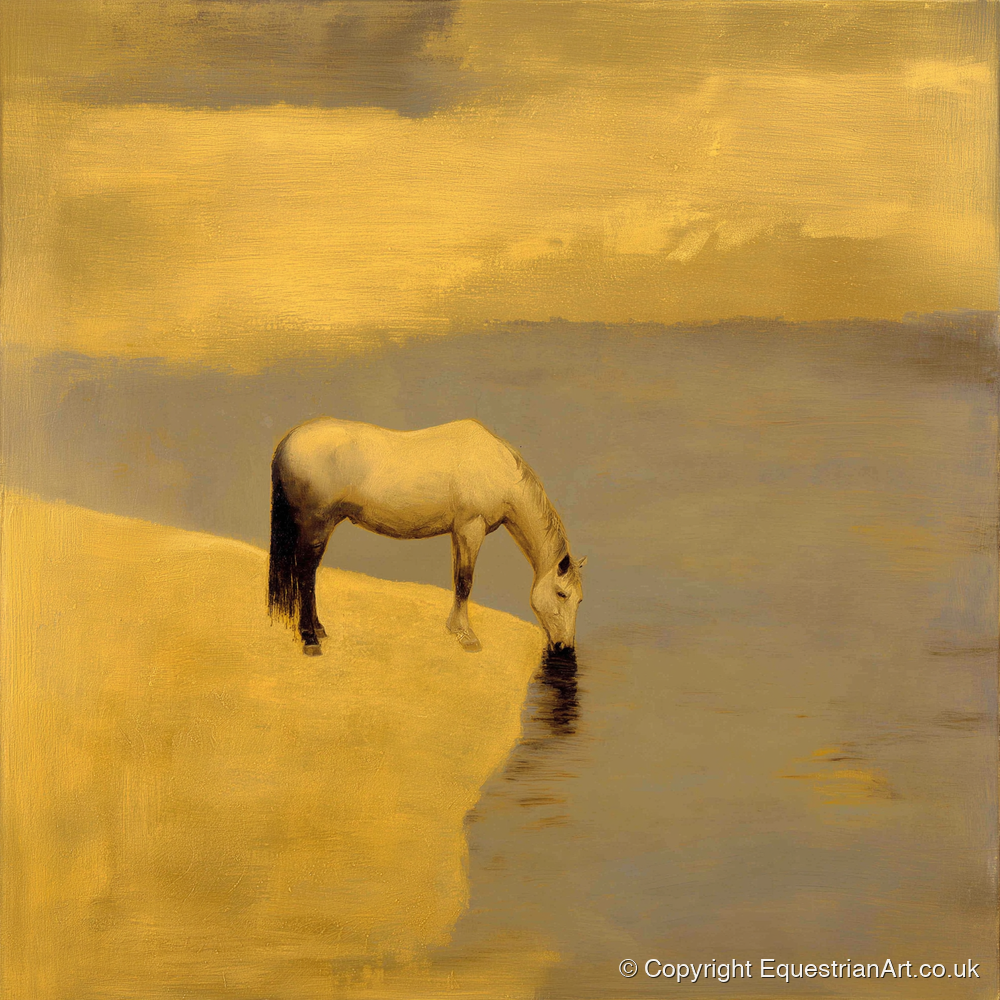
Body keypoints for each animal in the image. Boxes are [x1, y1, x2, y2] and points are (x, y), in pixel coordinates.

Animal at [267, 418, 585, 656]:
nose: (565, 647)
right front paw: (468, 637)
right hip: (316, 525)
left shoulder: (458, 532)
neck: (496, 466)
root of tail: (288, 441)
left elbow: (457, 579)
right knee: (305, 572)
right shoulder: (471, 528)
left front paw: (455, 628)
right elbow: (465, 581)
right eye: (562, 594)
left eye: (580, 600)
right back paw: (310, 638)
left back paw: (318, 630)